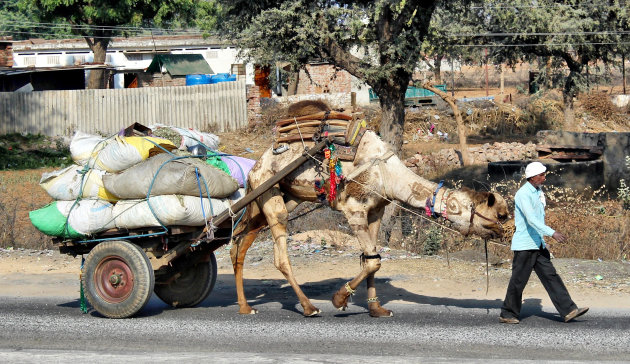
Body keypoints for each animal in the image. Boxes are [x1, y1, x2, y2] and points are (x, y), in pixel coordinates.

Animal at [230, 101, 512, 318]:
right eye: (500, 215)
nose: (509, 232)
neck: (388, 174)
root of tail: (254, 167)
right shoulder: (353, 207)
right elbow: (373, 261)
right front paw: (339, 299)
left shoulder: (376, 210)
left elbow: (372, 259)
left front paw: (377, 309)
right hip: (270, 192)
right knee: (276, 254)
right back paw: (309, 307)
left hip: (279, 198)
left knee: (239, 243)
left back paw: (245, 306)